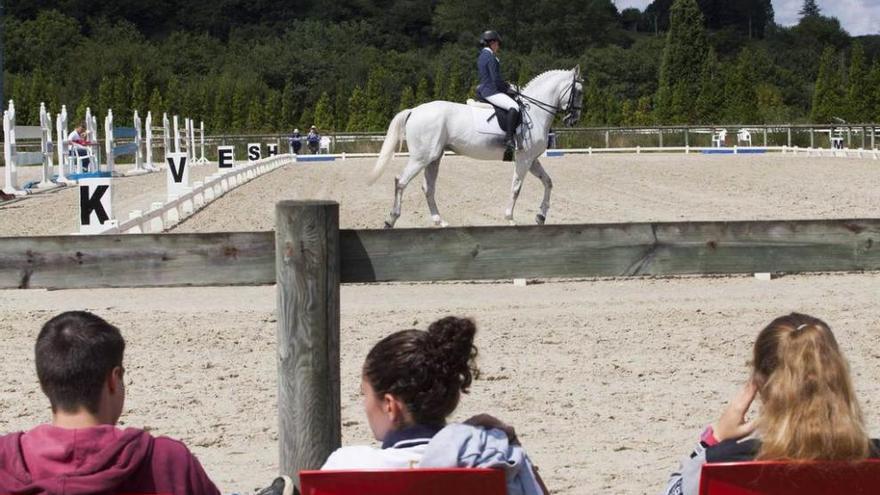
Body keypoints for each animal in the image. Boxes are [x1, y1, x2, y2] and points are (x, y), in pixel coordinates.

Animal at [368, 66, 580, 229]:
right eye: (578, 92)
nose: (573, 120)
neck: (534, 113)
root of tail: (414, 110)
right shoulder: (524, 159)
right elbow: (516, 188)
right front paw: (510, 219)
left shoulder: (532, 159)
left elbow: (548, 182)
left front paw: (540, 217)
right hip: (422, 157)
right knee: (401, 181)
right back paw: (390, 220)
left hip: (434, 157)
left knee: (428, 187)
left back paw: (439, 221)